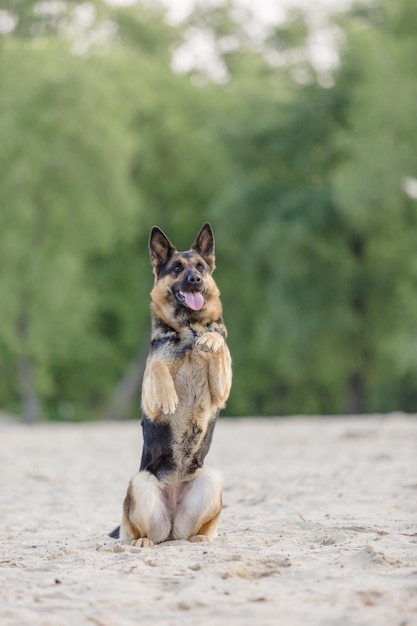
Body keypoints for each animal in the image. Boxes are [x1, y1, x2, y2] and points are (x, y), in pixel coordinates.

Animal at [110, 222, 232, 544]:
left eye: (200, 267)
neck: (188, 329)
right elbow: (157, 365)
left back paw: (200, 539)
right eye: (177, 268)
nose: (195, 280)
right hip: (139, 482)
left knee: (197, 531)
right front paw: (168, 397)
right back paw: (142, 541)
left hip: (213, 479)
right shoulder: (148, 388)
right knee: (142, 532)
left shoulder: (222, 391)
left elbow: (218, 342)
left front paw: (210, 340)